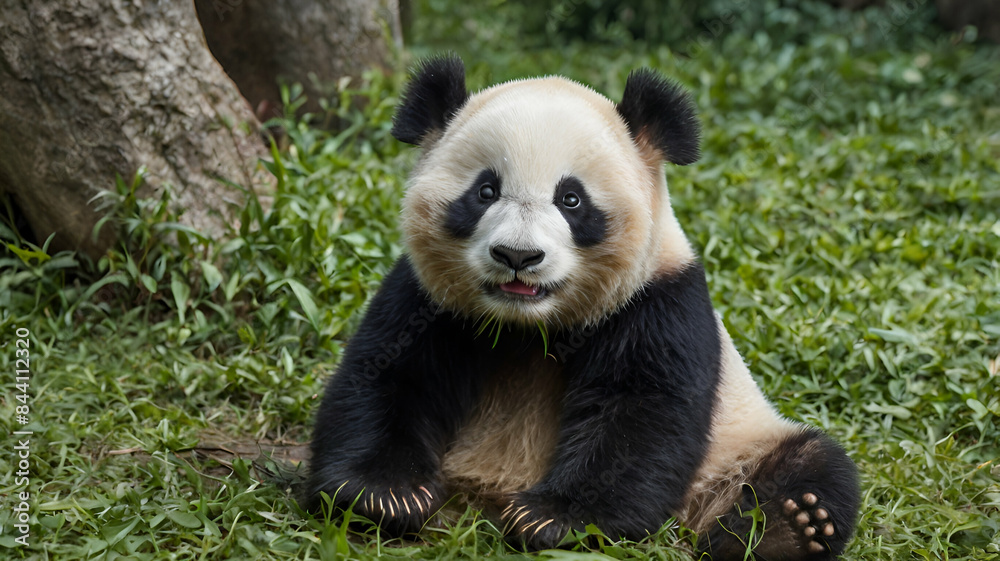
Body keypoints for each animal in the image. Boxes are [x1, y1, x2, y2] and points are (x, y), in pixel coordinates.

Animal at [307, 55, 860, 560]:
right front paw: (387, 493)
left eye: (571, 200)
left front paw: (551, 519)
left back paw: (787, 527)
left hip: (733, 450)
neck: (528, 326)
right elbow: (389, 378)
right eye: (485, 191)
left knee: (815, 464)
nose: (518, 256)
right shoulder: (428, 299)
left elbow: (638, 415)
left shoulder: (659, 300)